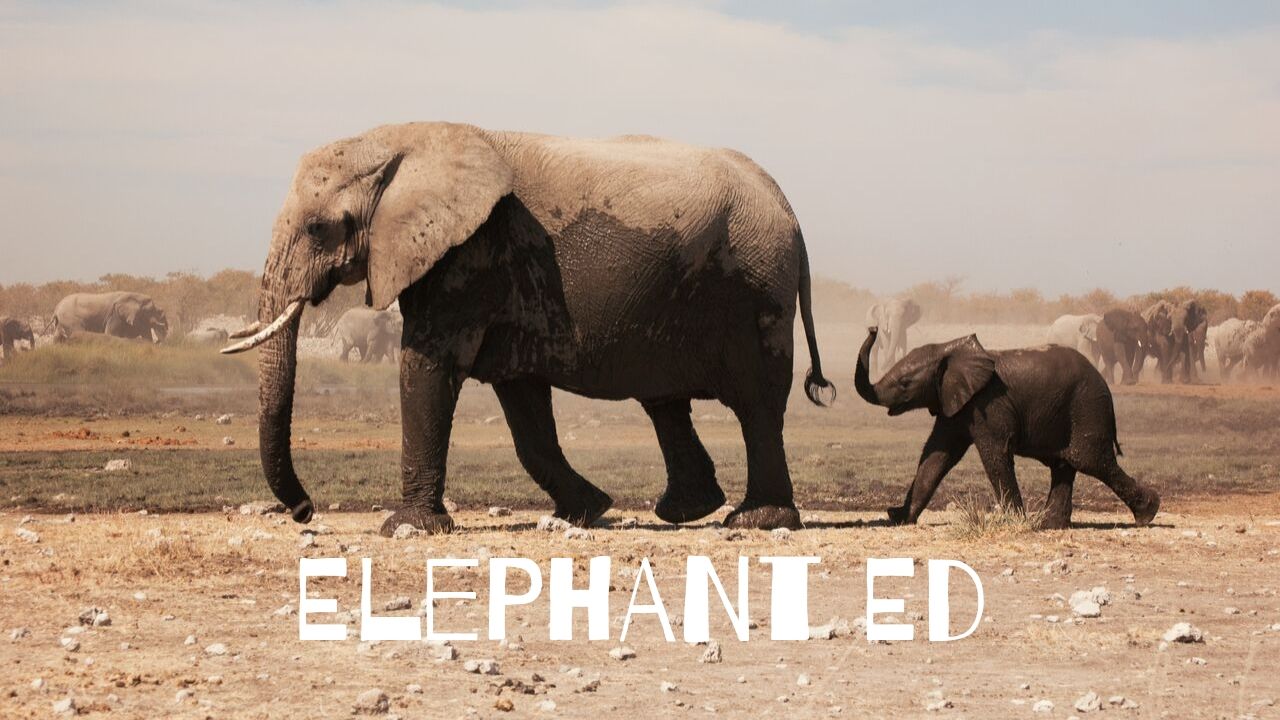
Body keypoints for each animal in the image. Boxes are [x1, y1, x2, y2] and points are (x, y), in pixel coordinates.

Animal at [221, 122, 833, 535]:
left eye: (318, 228)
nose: (304, 512)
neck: (400, 140)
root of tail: (787, 206)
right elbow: (523, 407)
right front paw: (587, 511)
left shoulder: (470, 255)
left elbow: (427, 366)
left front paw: (405, 529)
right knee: (665, 401)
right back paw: (685, 511)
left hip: (754, 288)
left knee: (756, 404)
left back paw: (755, 521)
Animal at [853, 327, 1160, 529]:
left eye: (904, 383)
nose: (873, 328)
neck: (948, 349)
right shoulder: (956, 404)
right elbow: (937, 456)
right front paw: (900, 518)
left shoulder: (989, 404)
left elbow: (994, 455)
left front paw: (1014, 522)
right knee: (1065, 464)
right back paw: (1049, 525)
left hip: (1087, 408)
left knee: (1091, 461)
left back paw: (1148, 513)